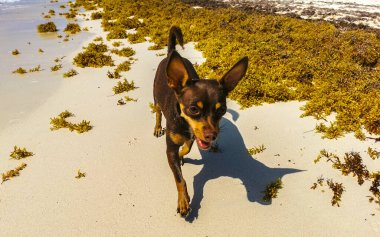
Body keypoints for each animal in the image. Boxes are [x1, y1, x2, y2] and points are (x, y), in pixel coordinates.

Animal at [153, 25, 248, 217]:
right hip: (156, 97)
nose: (212, 136)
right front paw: (183, 201)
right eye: (194, 109)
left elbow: (187, 148)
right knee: (157, 111)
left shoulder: (192, 137)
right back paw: (158, 127)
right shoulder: (170, 149)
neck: (185, 124)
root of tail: (171, 53)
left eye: (221, 110)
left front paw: (182, 156)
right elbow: (179, 178)